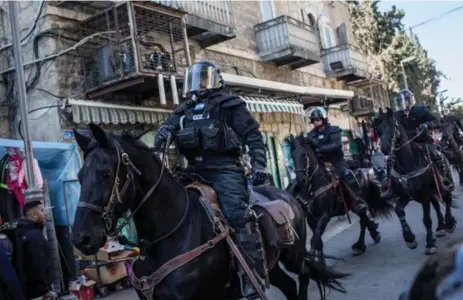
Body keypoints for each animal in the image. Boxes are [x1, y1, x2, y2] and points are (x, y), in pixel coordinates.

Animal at [71, 124, 348, 300]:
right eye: (80, 175)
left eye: (105, 173)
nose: (81, 238)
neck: (168, 234)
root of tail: (290, 196)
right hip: (273, 265)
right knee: (289, 285)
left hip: (294, 256)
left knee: (304, 276)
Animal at [288, 134, 394, 262]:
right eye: (292, 156)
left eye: (304, 154)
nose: (300, 181)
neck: (315, 186)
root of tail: (365, 171)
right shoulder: (311, 218)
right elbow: (318, 240)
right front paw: (320, 262)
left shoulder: (325, 215)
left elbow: (315, 239)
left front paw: (313, 259)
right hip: (353, 206)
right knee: (364, 219)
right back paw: (373, 234)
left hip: (359, 203)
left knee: (363, 221)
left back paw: (360, 246)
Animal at [378, 109, 458, 254]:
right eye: (379, 129)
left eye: (391, 124)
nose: (384, 148)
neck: (408, 164)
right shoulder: (403, 196)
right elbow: (399, 211)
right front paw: (409, 239)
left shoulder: (424, 196)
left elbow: (427, 220)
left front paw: (430, 243)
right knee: (437, 206)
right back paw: (441, 227)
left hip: (443, 184)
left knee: (447, 198)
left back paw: (449, 223)